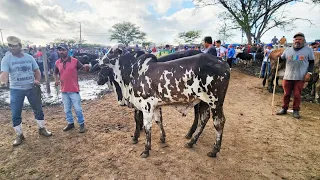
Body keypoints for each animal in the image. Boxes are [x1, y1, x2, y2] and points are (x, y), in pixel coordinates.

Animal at [99, 45, 230, 158]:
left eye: (111, 51)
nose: (100, 61)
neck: (132, 73)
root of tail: (223, 62)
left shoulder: (146, 106)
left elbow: (146, 126)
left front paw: (146, 150)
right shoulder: (155, 105)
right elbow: (158, 121)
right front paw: (162, 139)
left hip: (215, 102)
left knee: (219, 122)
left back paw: (214, 150)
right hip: (204, 102)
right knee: (203, 119)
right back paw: (191, 142)